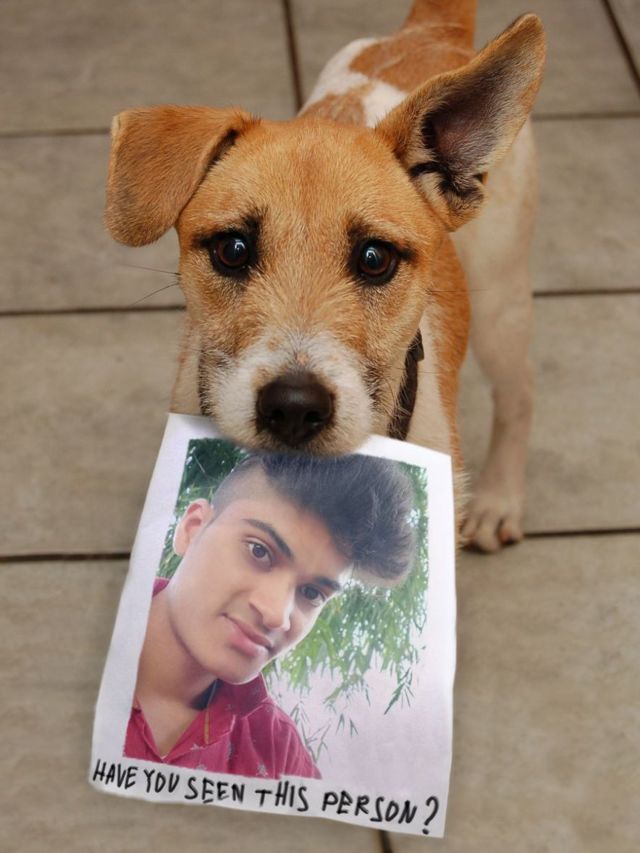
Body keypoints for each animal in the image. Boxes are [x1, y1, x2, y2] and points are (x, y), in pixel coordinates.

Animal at [104, 0, 545, 552]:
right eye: (232, 249)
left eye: (375, 258)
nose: (294, 407)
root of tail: (432, 30)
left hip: (500, 303)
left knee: (520, 392)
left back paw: (498, 499)